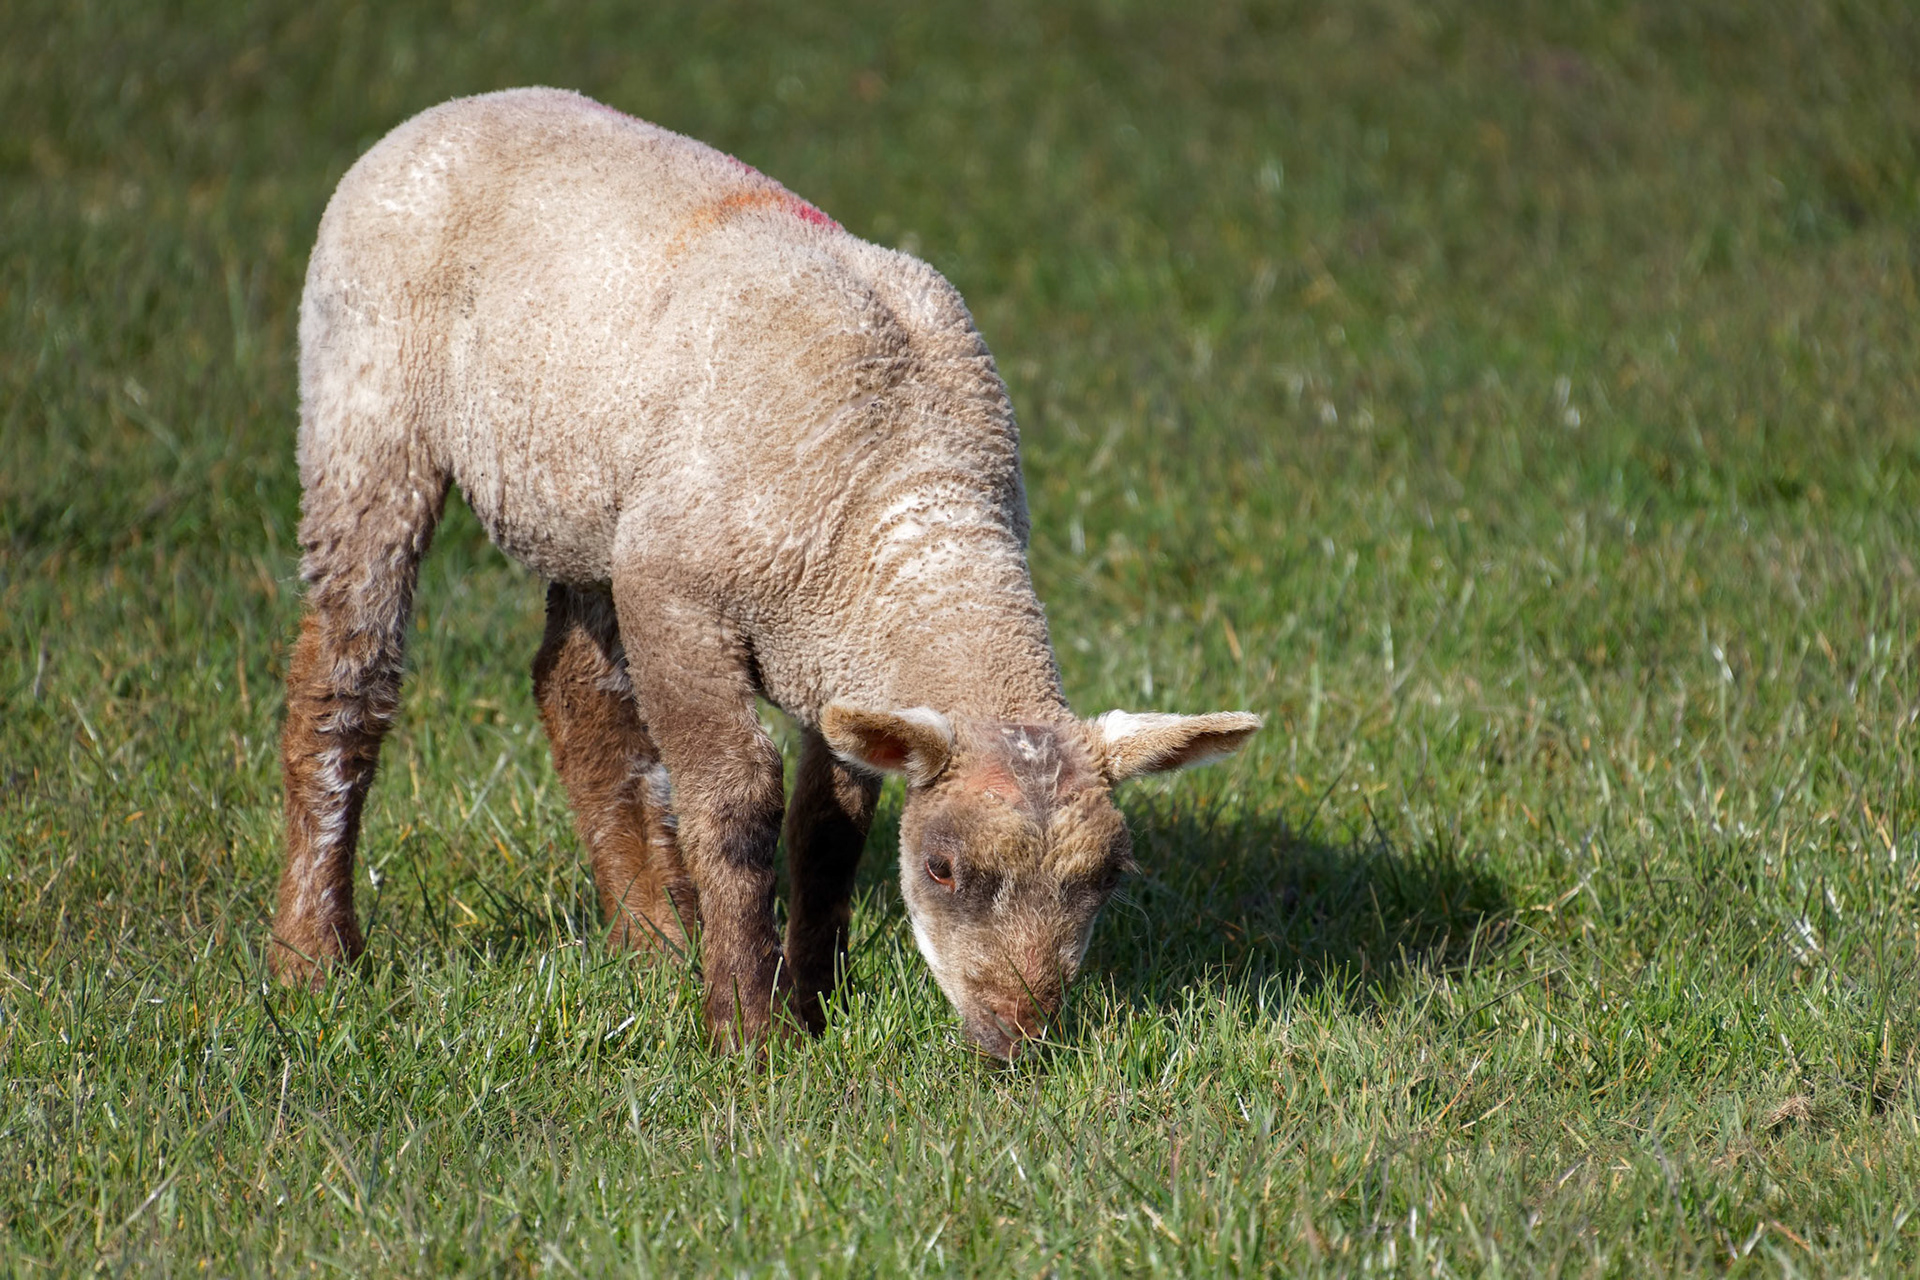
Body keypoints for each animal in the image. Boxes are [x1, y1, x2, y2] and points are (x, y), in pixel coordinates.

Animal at [271, 87, 1259, 1057]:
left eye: (1110, 876)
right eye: (942, 868)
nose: (1018, 1044)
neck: (909, 491)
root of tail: (456, 105)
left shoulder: (842, 657)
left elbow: (828, 830)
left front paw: (814, 998)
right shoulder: (681, 599)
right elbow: (737, 805)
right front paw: (749, 1033)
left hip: (595, 508)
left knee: (575, 693)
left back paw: (654, 936)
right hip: (366, 405)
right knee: (346, 675)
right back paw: (312, 955)